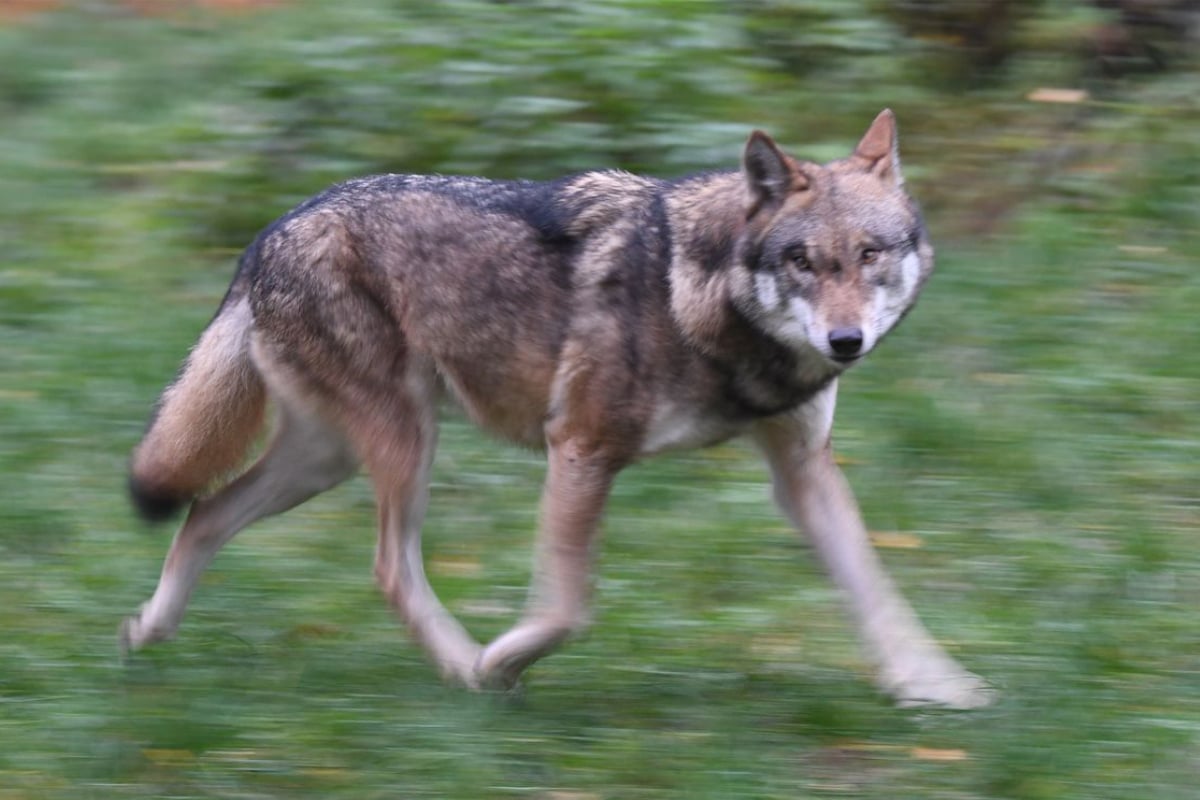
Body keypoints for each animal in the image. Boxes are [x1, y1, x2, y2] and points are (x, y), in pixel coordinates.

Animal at [122, 110, 991, 708]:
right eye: (804, 261)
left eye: (870, 255)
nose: (846, 341)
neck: (702, 300)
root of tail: (269, 231)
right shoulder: (580, 447)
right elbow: (569, 607)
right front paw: (501, 660)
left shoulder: (803, 472)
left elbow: (876, 590)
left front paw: (936, 687)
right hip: (403, 444)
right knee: (387, 568)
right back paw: (464, 669)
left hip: (327, 459)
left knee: (205, 512)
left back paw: (147, 632)